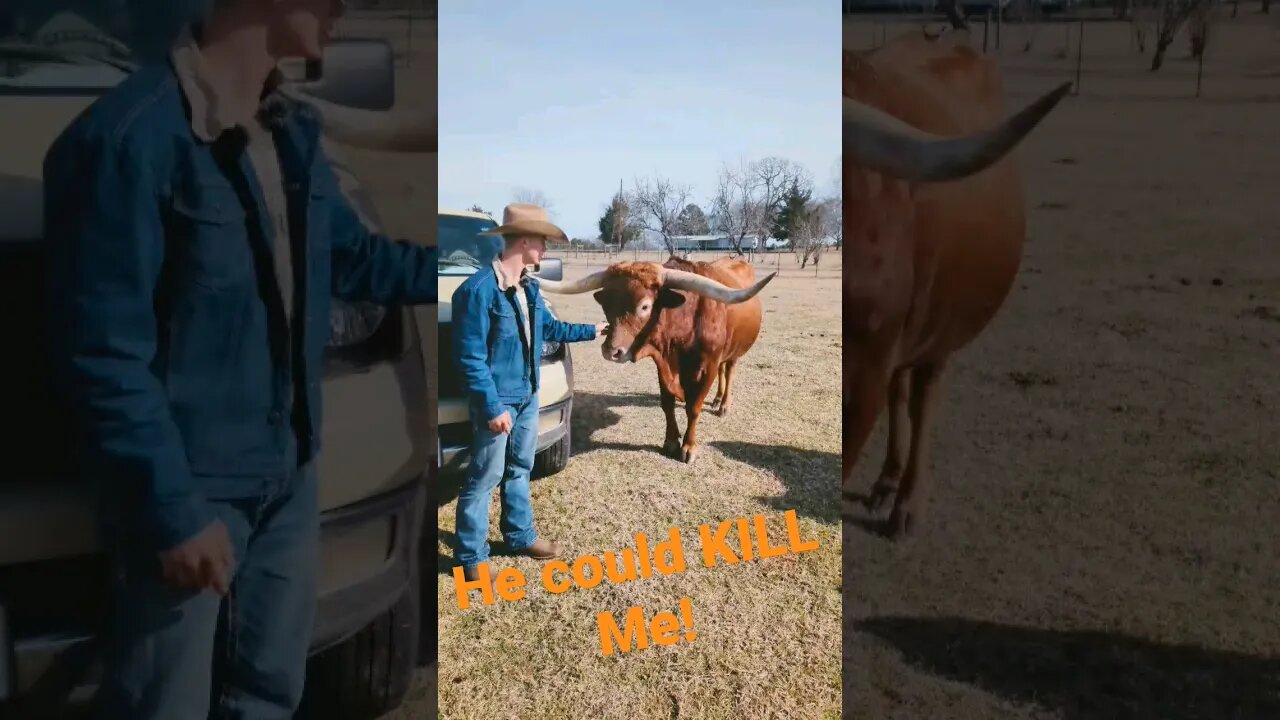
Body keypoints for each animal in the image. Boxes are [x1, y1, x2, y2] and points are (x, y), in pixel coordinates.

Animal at [535, 254, 773, 461]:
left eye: (645, 306)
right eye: (606, 305)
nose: (611, 351)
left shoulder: (708, 367)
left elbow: (693, 407)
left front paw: (689, 447)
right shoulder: (662, 364)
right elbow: (667, 403)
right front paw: (671, 441)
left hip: (735, 351)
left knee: (729, 369)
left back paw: (723, 404)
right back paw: (716, 399)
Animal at [839, 33, 1070, 538]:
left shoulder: (864, 371)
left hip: (945, 324)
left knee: (924, 394)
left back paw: (906, 503)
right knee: (901, 388)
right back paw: (886, 481)